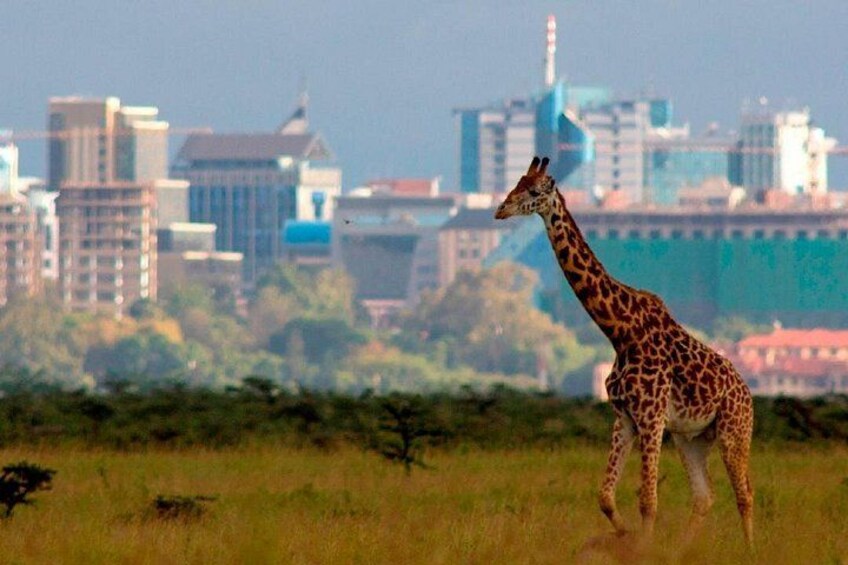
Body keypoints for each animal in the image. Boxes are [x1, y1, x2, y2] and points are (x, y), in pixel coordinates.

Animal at [495, 156, 754, 546]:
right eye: (517, 182)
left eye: (534, 190)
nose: (501, 209)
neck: (620, 332)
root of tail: (748, 395)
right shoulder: (625, 418)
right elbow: (606, 496)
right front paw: (628, 538)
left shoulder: (651, 416)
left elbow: (648, 499)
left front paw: (642, 547)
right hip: (691, 438)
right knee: (704, 497)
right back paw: (682, 551)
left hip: (733, 431)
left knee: (744, 494)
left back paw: (751, 551)